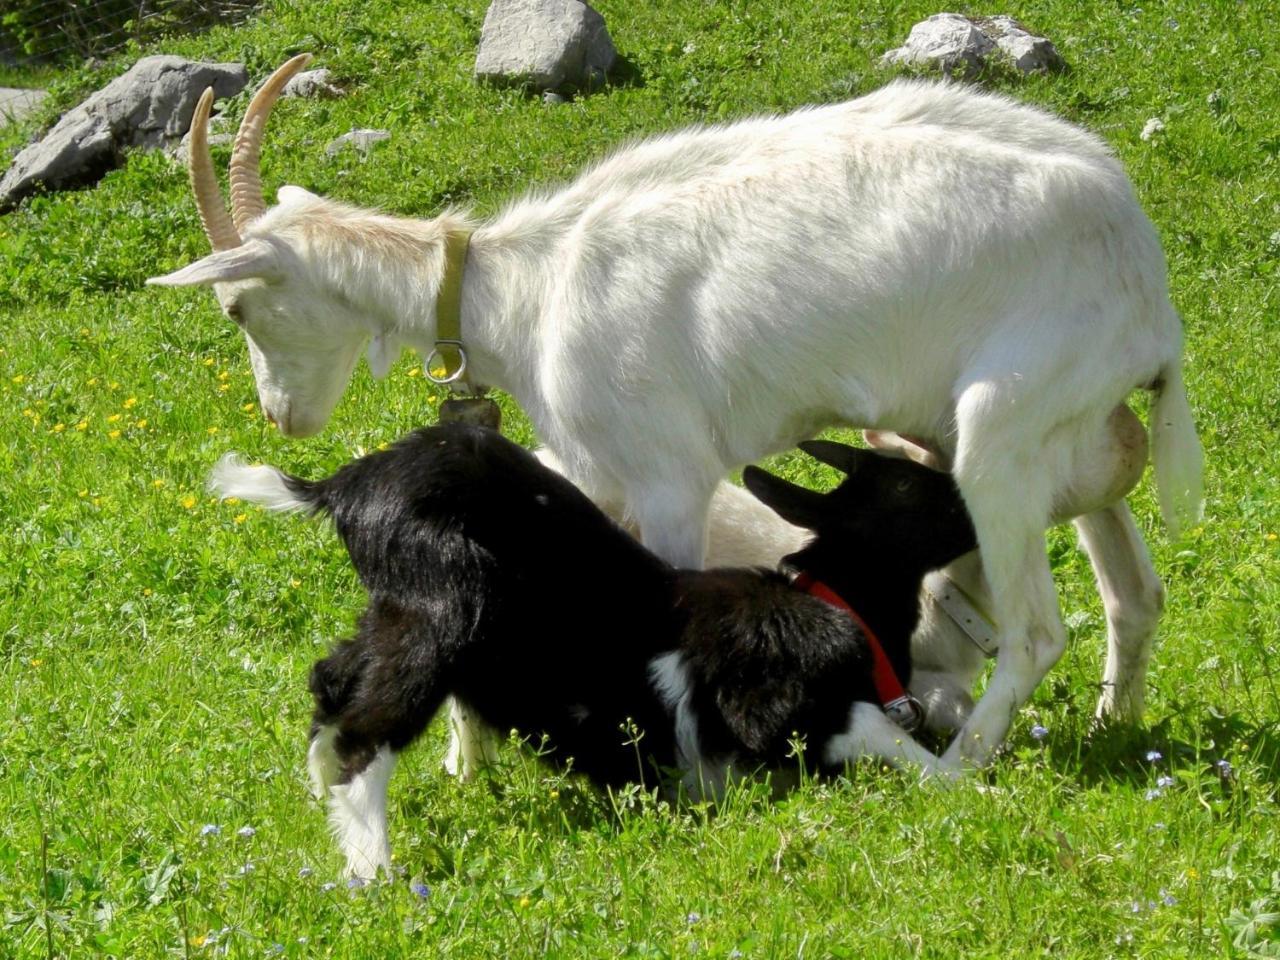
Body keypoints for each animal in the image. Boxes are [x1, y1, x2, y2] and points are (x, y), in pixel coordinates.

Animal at [147, 56, 1198, 773]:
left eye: (237, 307)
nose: (282, 417)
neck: (522, 290)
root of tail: (1147, 281)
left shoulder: (667, 480)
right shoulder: (587, 475)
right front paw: (464, 755)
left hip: (1002, 429)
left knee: (1037, 630)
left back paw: (964, 767)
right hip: (1057, 434)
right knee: (1131, 590)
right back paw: (1113, 725)